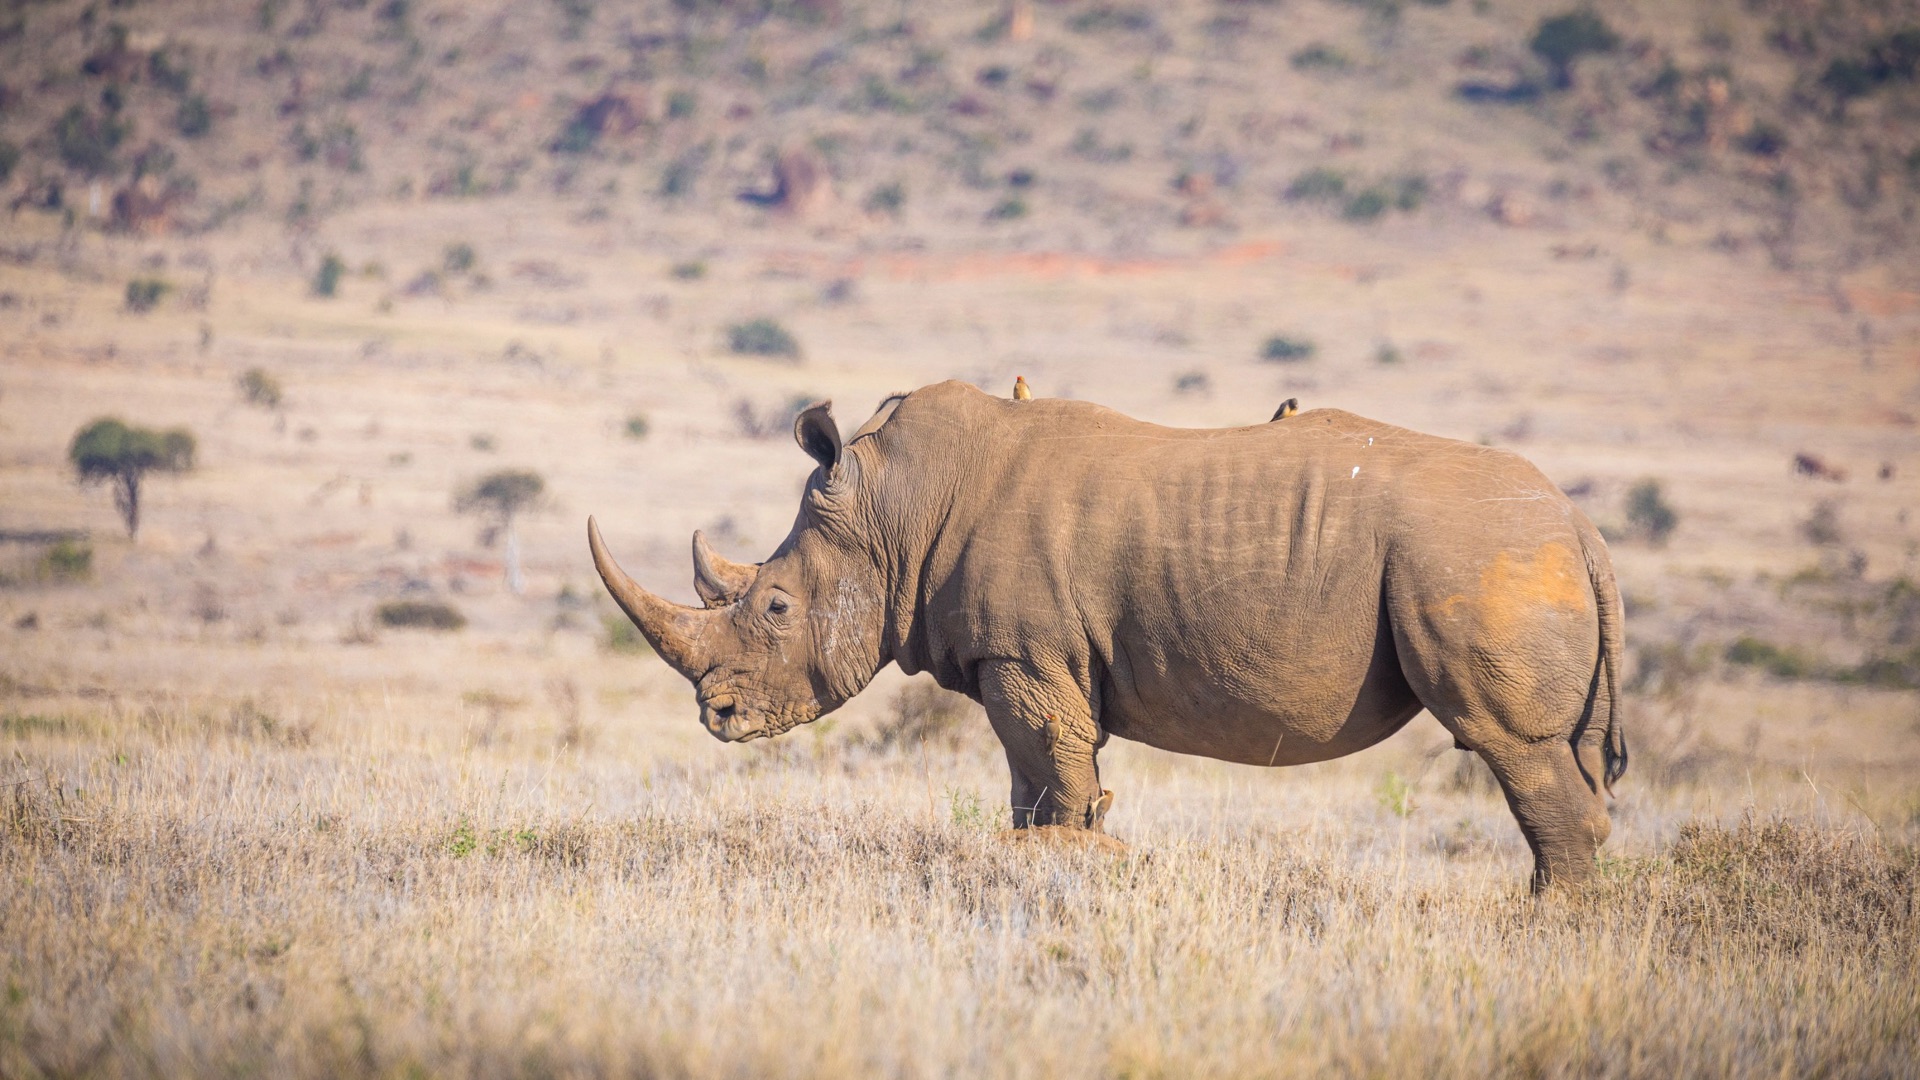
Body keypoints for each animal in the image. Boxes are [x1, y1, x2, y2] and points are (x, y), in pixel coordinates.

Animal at [589, 381, 1626, 889]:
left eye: (773, 608)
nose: (717, 715)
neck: (894, 506)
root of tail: (1582, 527)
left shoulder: (1025, 652)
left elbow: (1056, 768)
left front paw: (1072, 869)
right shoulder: (1021, 657)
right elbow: (1031, 784)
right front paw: (1050, 862)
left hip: (1479, 553)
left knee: (1511, 745)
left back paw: (1547, 929)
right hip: (1508, 552)